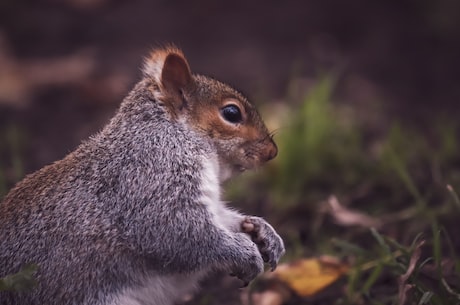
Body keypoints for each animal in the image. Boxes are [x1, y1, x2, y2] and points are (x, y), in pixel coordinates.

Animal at [0, 45, 284, 304]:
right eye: (231, 113)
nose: (272, 151)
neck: (175, 133)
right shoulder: (152, 175)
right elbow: (178, 230)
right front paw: (244, 253)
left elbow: (222, 218)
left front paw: (262, 231)